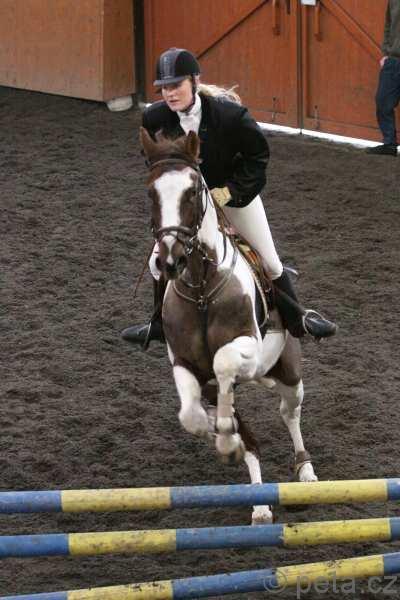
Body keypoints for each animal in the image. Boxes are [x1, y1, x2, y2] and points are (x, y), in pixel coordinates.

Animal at [140, 127, 317, 524]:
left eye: (193, 190)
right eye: (151, 192)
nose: (170, 260)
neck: (202, 291)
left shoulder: (246, 348)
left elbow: (223, 363)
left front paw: (223, 435)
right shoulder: (185, 365)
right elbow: (192, 415)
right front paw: (220, 437)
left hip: (288, 370)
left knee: (289, 410)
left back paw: (305, 471)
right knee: (248, 437)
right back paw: (260, 503)